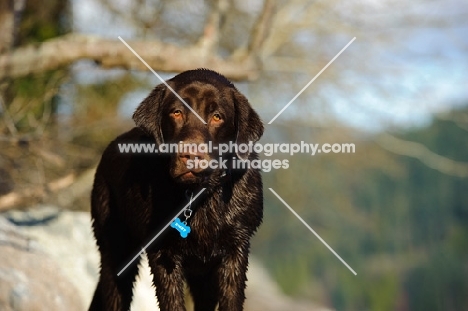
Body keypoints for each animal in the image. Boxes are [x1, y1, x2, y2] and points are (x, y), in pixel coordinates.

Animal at [88, 69, 264, 310]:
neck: (199, 197)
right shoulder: (163, 255)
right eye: (177, 112)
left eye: (217, 116)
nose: (191, 155)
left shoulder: (235, 251)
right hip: (115, 251)